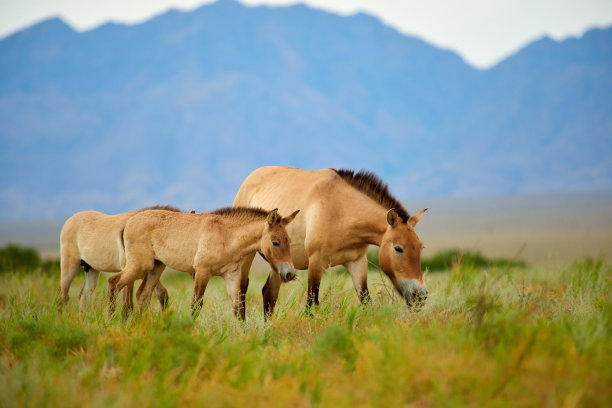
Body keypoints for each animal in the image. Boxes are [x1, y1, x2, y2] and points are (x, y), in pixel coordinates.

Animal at [108, 207, 302, 318]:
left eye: (289, 240)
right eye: (275, 242)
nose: (289, 273)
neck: (226, 235)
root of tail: (127, 223)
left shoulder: (231, 276)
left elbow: (237, 309)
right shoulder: (202, 272)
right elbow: (196, 306)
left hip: (156, 267)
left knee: (142, 295)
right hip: (139, 266)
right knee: (113, 283)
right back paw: (111, 320)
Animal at [232, 166, 428, 316]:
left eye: (420, 247)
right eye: (398, 248)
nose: (421, 296)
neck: (340, 210)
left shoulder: (357, 262)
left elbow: (366, 301)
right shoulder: (316, 262)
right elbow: (311, 305)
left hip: (279, 263)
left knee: (269, 295)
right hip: (247, 257)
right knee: (241, 292)